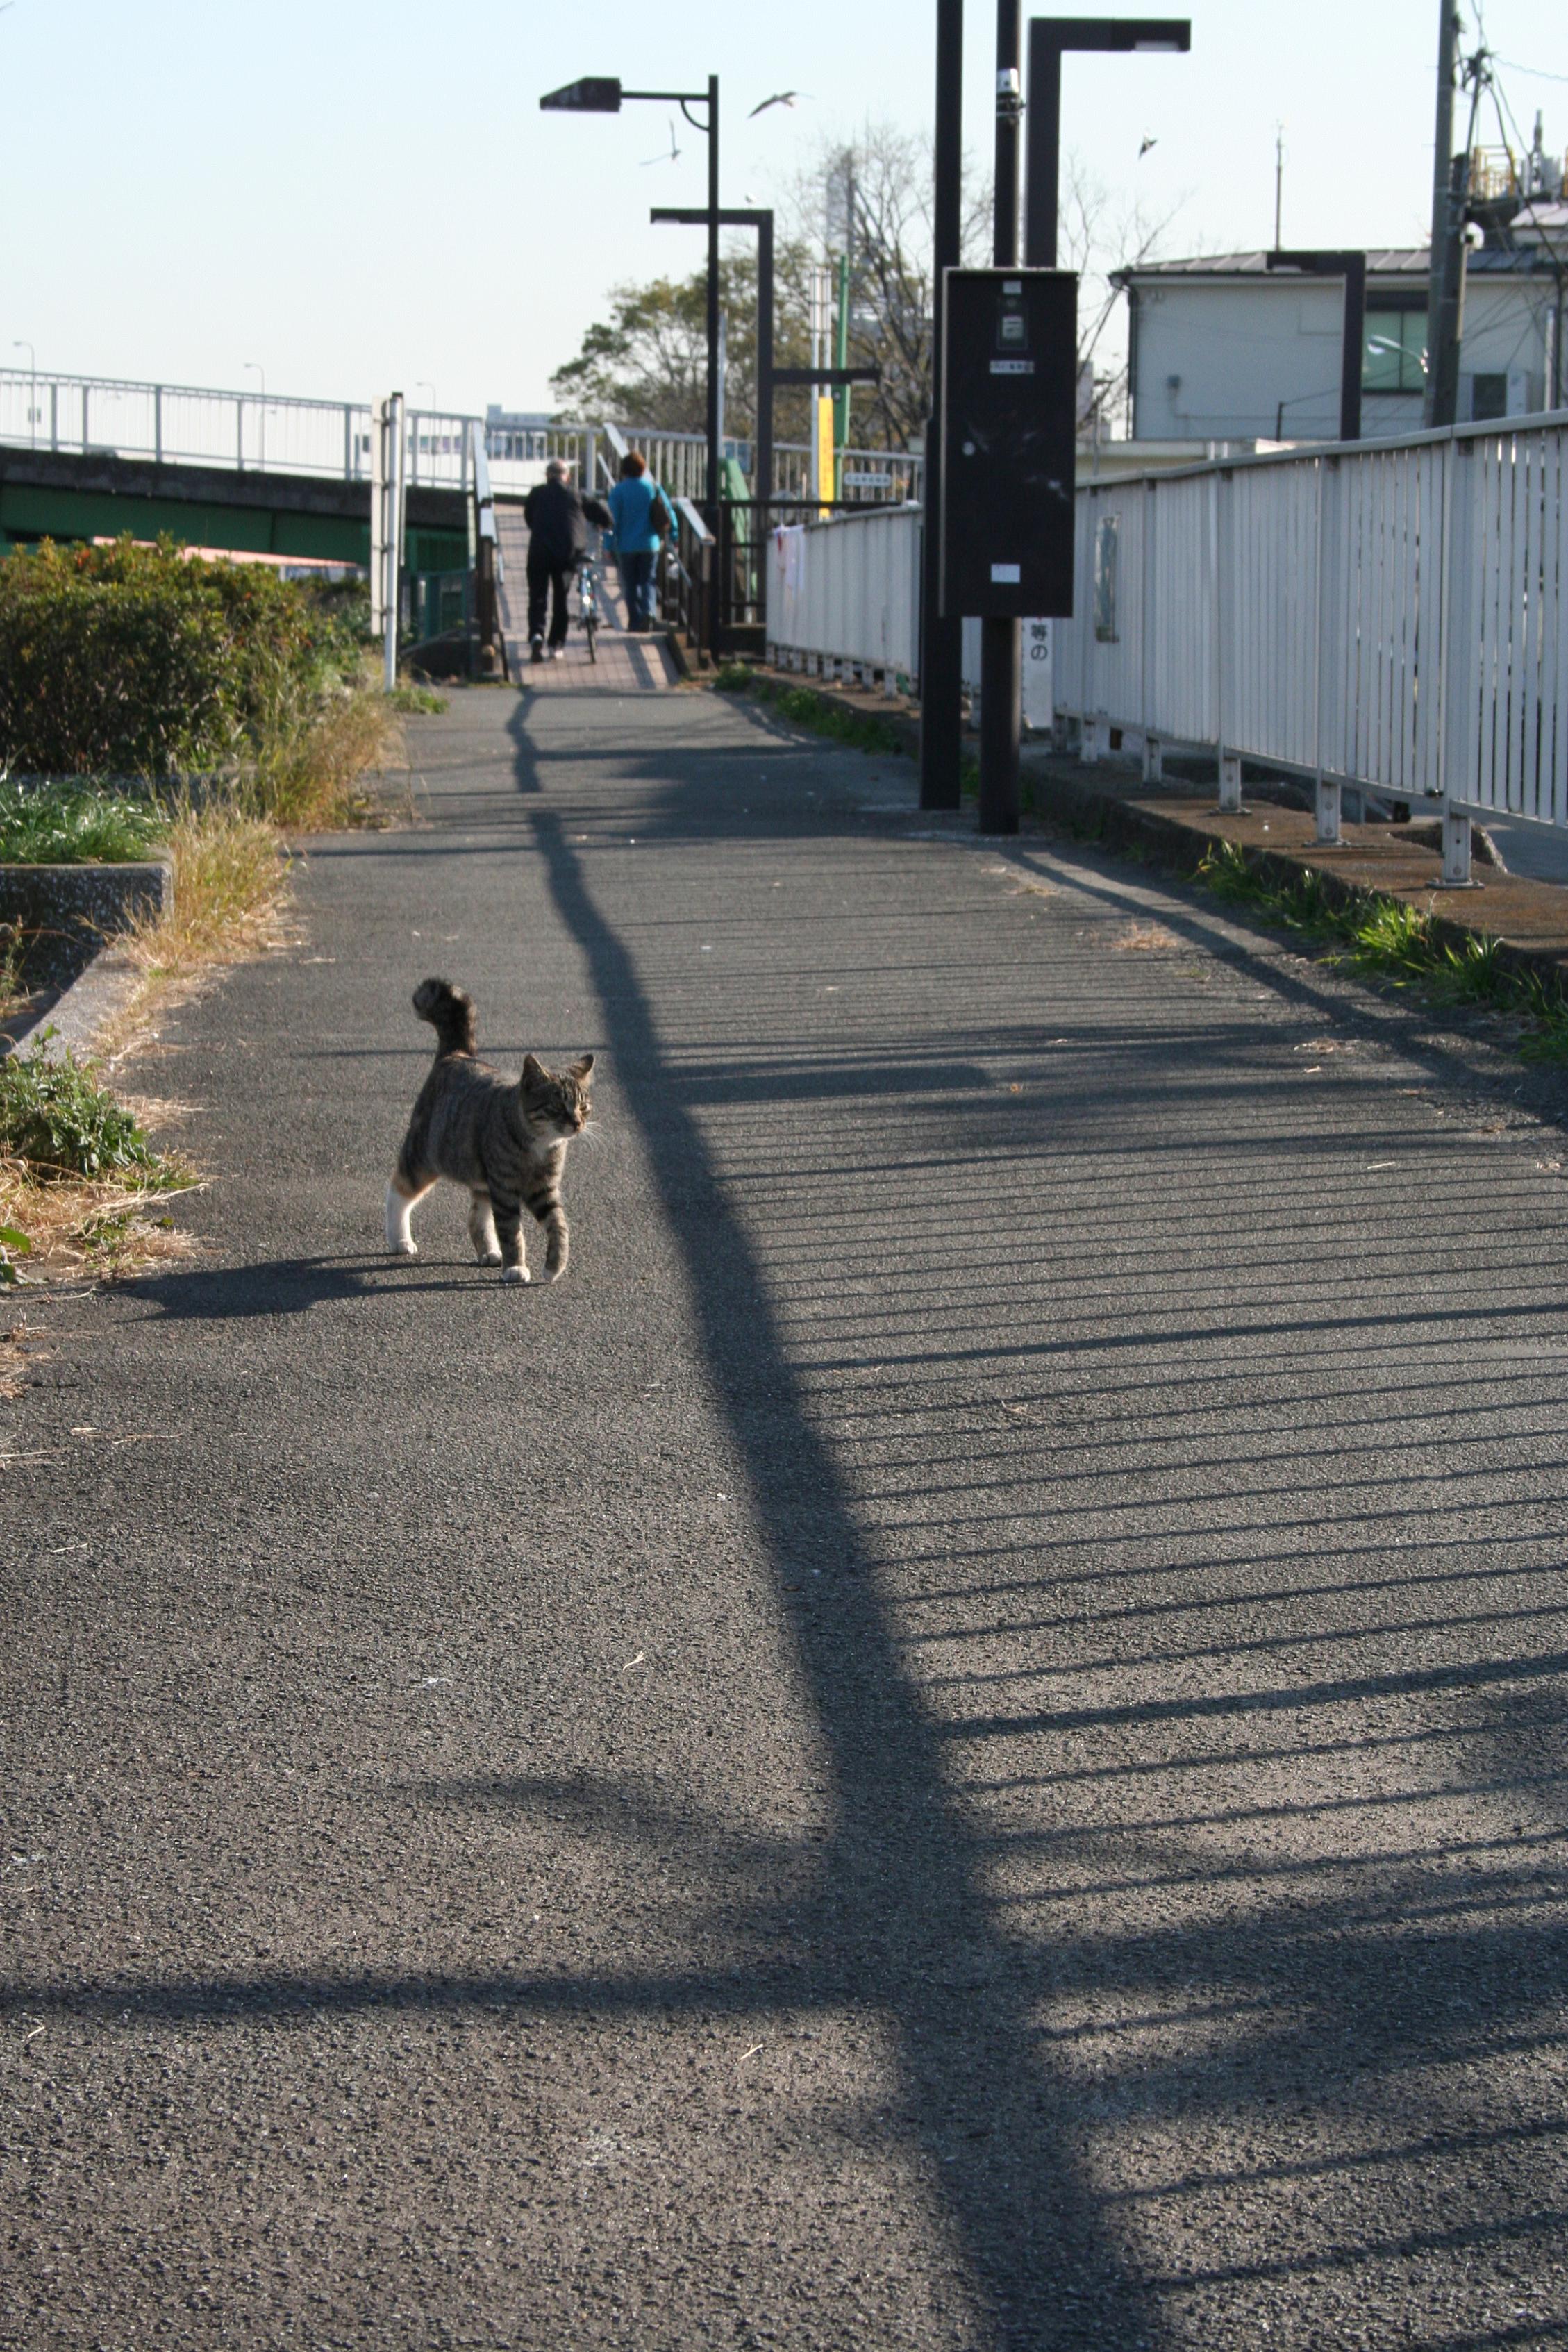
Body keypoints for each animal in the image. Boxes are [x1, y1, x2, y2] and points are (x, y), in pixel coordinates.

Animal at [385, 978, 594, 1289]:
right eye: (558, 1106)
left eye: (584, 1106)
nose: (577, 1123)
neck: (539, 1145)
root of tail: (456, 1054)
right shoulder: (505, 1188)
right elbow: (511, 1232)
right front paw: (516, 1267)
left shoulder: (543, 1189)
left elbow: (559, 1226)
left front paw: (554, 1266)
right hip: (424, 1158)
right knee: (398, 1190)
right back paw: (399, 1239)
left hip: (482, 1178)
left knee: (477, 1216)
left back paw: (489, 1252)